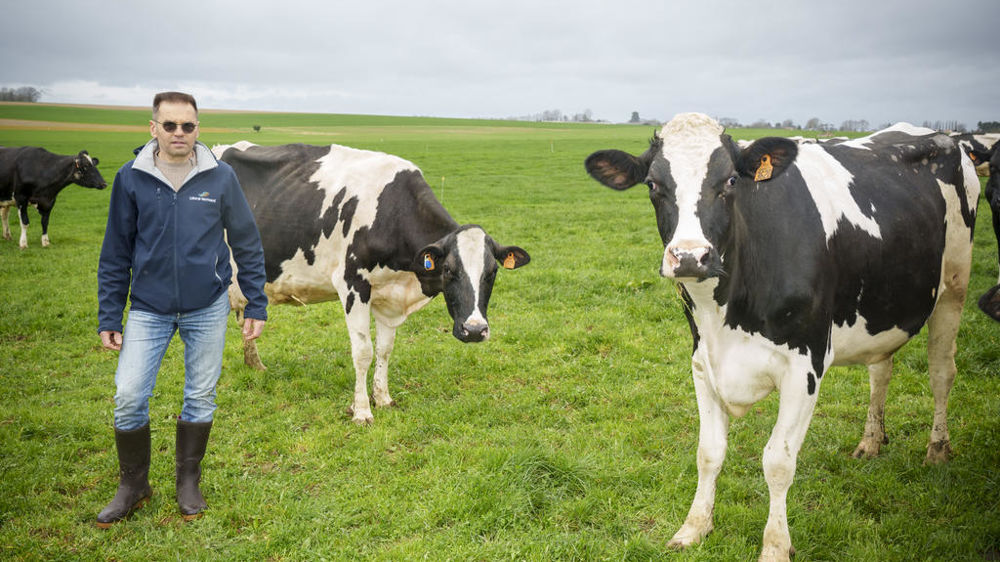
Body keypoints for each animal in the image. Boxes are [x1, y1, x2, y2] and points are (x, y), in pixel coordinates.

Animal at [212, 141, 530, 424]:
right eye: (449, 269)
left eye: (492, 272)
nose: (475, 330)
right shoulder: (352, 285)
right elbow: (363, 352)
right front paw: (362, 411)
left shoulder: (389, 297)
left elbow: (384, 350)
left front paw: (383, 398)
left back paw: (255, 365)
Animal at [585, 113, 978, 561]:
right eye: (653, 184)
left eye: (731, 180)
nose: (689, 257)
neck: (725, 316)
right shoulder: (703, 362)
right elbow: (708, 452)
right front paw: (694, 527)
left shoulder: (804, 366)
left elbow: (777, 461)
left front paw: (774, 546)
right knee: (881, 371)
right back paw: (871, 442)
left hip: (954, 285)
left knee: (941, 372)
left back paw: (938, 449)